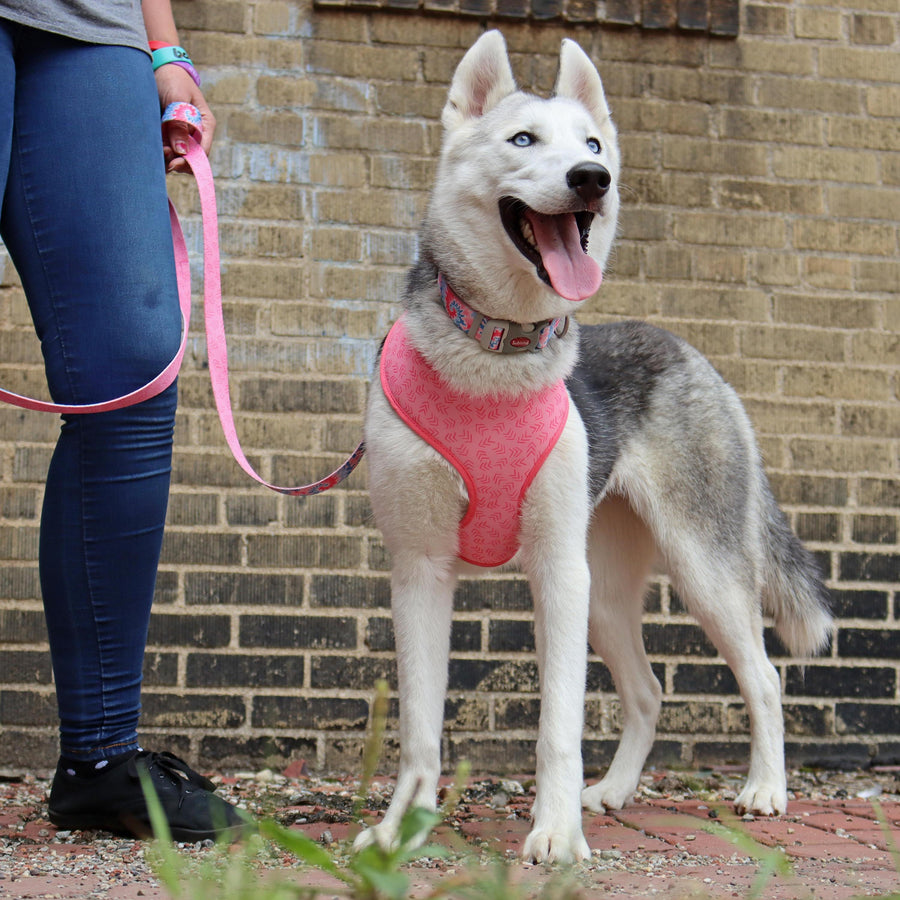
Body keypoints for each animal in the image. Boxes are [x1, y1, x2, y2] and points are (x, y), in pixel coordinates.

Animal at [356, 29, 832, 864]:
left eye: (593, 144)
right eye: (522, 139)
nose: (593, 179)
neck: (498, 353)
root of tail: (688, 350)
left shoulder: (556, 572)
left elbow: (558, 726)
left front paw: (553, 834)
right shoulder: (419, 569)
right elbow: (417, 728)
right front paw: (402, 829)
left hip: (696, 569)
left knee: (765, 679)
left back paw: (765, 790)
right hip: (606, 590)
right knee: (647, 691)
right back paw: (612, 792)